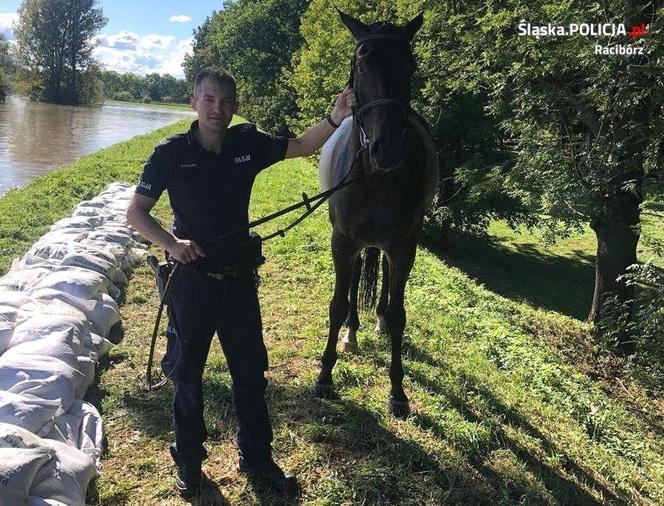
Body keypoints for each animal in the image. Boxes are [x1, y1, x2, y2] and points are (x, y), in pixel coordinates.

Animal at [314, 10, 438, 420]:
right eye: (362, 64)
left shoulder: (404, 247)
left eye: (409, 66)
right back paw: (352, 333)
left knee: (381, 271)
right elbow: (337, 304)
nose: (387, 149)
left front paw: (398, 392)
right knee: (354, 280)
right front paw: (325, 375)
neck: (374, 177)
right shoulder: (342, 242)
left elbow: (400, 315)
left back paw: (378, 320)